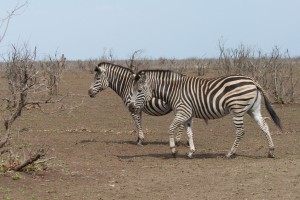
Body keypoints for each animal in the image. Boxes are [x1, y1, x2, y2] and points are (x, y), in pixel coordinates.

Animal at [128, 70, 282, 158]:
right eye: (133, 90)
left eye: (139, 91)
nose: (130, 107)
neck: (173, 90)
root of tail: (253, 81)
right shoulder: (188, 115)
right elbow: (189, 133)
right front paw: (191, 152)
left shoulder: (183, 112)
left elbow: (171, 129)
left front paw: (173, 150)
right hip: (253, 110)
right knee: (265, 126)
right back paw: (271, 151)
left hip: (237, 109)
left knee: (240, 131)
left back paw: (230, 153)